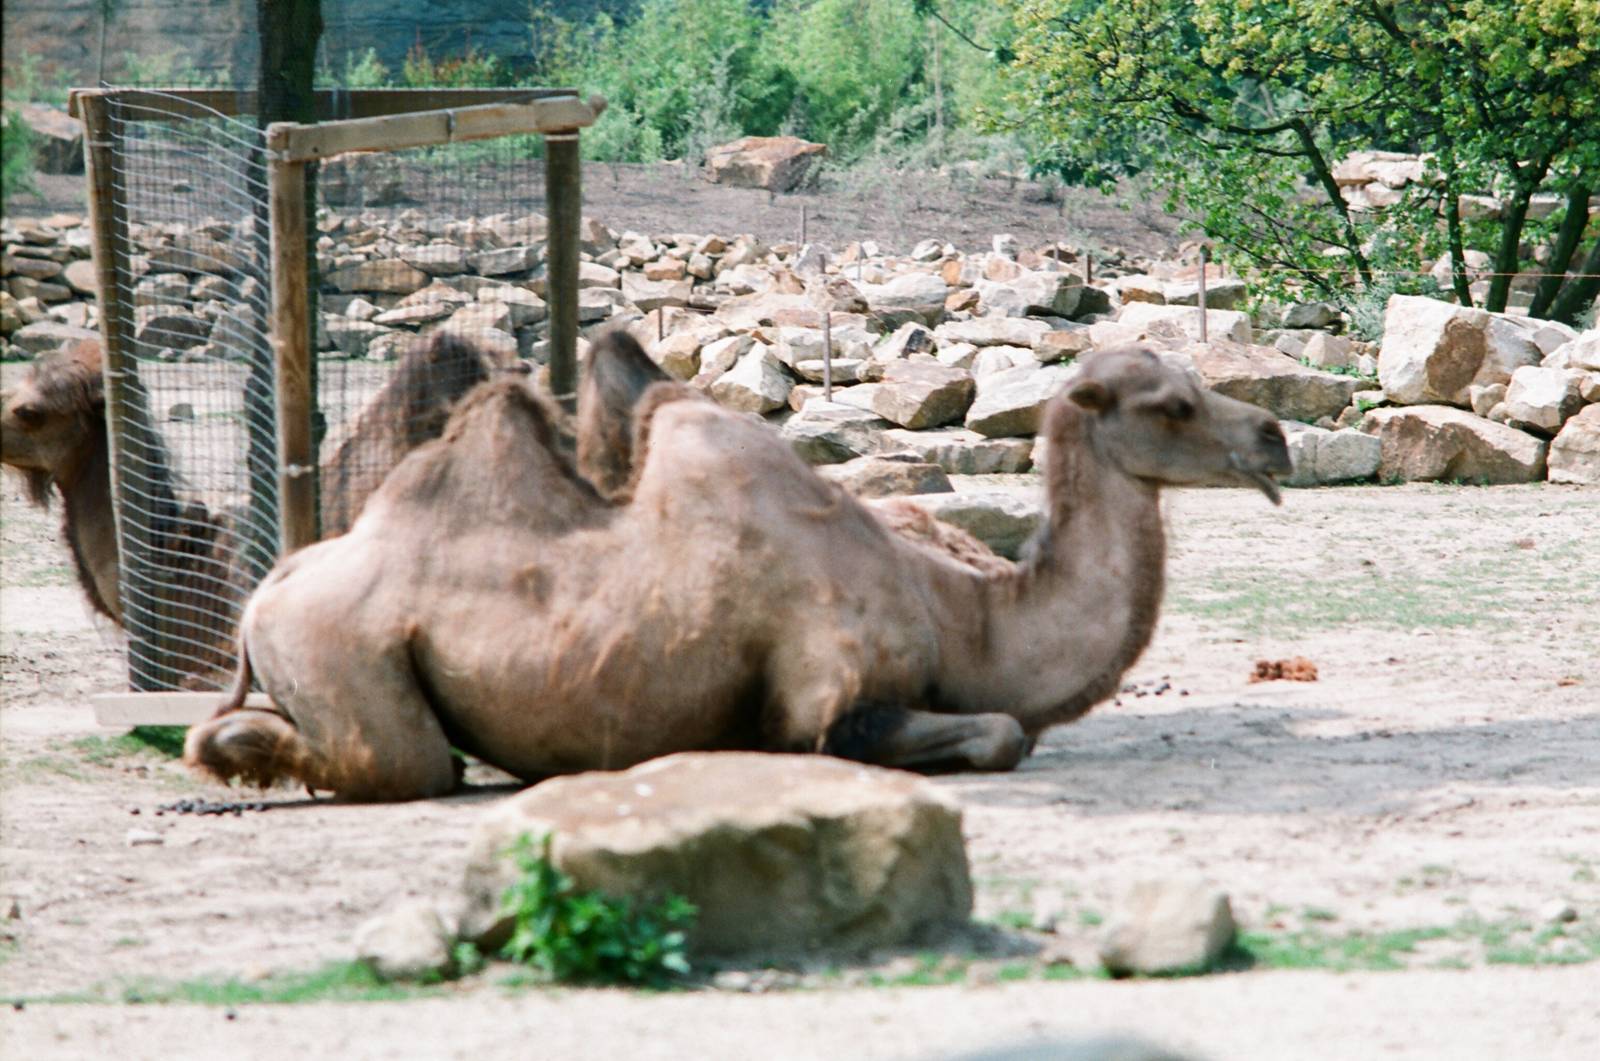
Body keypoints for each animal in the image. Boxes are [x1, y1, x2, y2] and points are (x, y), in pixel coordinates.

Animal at [185, 337, 1291, 801]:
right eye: (1173, 405)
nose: (1275, 439)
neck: (960, 616)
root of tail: (263, 595)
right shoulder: (824, 697)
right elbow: (1002, 732)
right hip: (340, 650)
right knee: (406, 763)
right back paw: (234, 749)